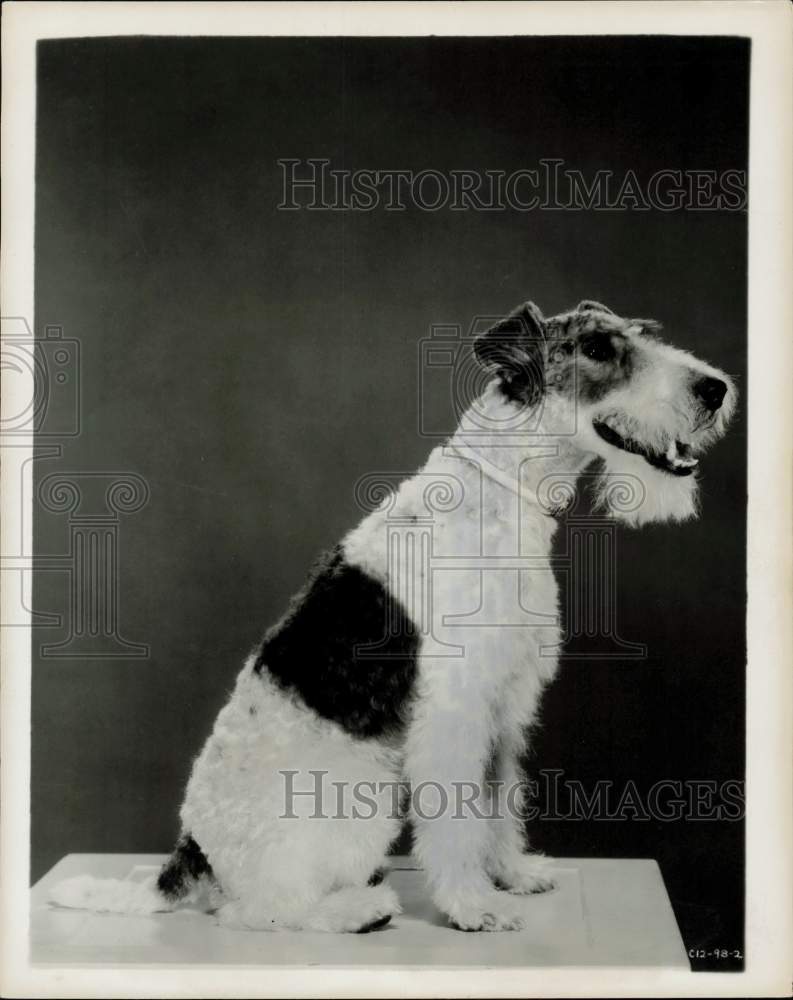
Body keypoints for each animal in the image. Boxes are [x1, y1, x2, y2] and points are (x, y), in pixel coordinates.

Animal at [51, 294, 736, 928]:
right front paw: (471, 906)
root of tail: (189, 856)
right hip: (356, 804)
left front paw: (511, 875)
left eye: (645, 333)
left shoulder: (504, 701)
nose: (715, 389)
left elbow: (498, 799)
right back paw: (360, 909)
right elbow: (458, 814)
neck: (498, 490)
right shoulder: (455, 705)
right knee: (258, 911)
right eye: (596, 348)